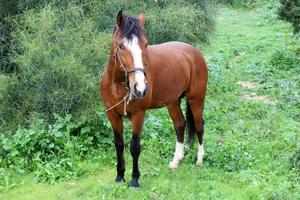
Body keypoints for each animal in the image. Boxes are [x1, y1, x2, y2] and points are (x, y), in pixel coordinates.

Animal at [99, 10, 207, 187]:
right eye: (121, 46)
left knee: (199, 126)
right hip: (173, 102)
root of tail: (193, 52)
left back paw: (199, 160)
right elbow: (119, 144)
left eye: (145, 45)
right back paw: (176, 161)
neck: (117, 85)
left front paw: (134, 180)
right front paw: (119, 176)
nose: (140, 88)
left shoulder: (138, 115)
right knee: (180, 125)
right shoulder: (112, 114)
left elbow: (135, 147)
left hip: (196, 99)